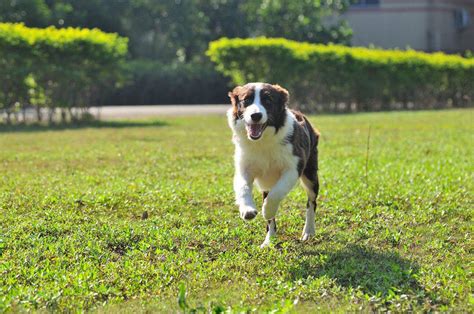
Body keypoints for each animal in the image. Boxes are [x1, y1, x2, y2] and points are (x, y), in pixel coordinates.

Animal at [228, 81, 320, 248]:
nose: (256, 115)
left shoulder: (294, 167)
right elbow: (243, 188)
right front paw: (247, 210)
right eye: (246, 100)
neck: (263, 141)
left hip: (311, 175)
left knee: (311, 202)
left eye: (268, 101)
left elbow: (276, 193)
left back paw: (308, 231)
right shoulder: (244, 168)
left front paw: (267, 211)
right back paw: (269, 240)